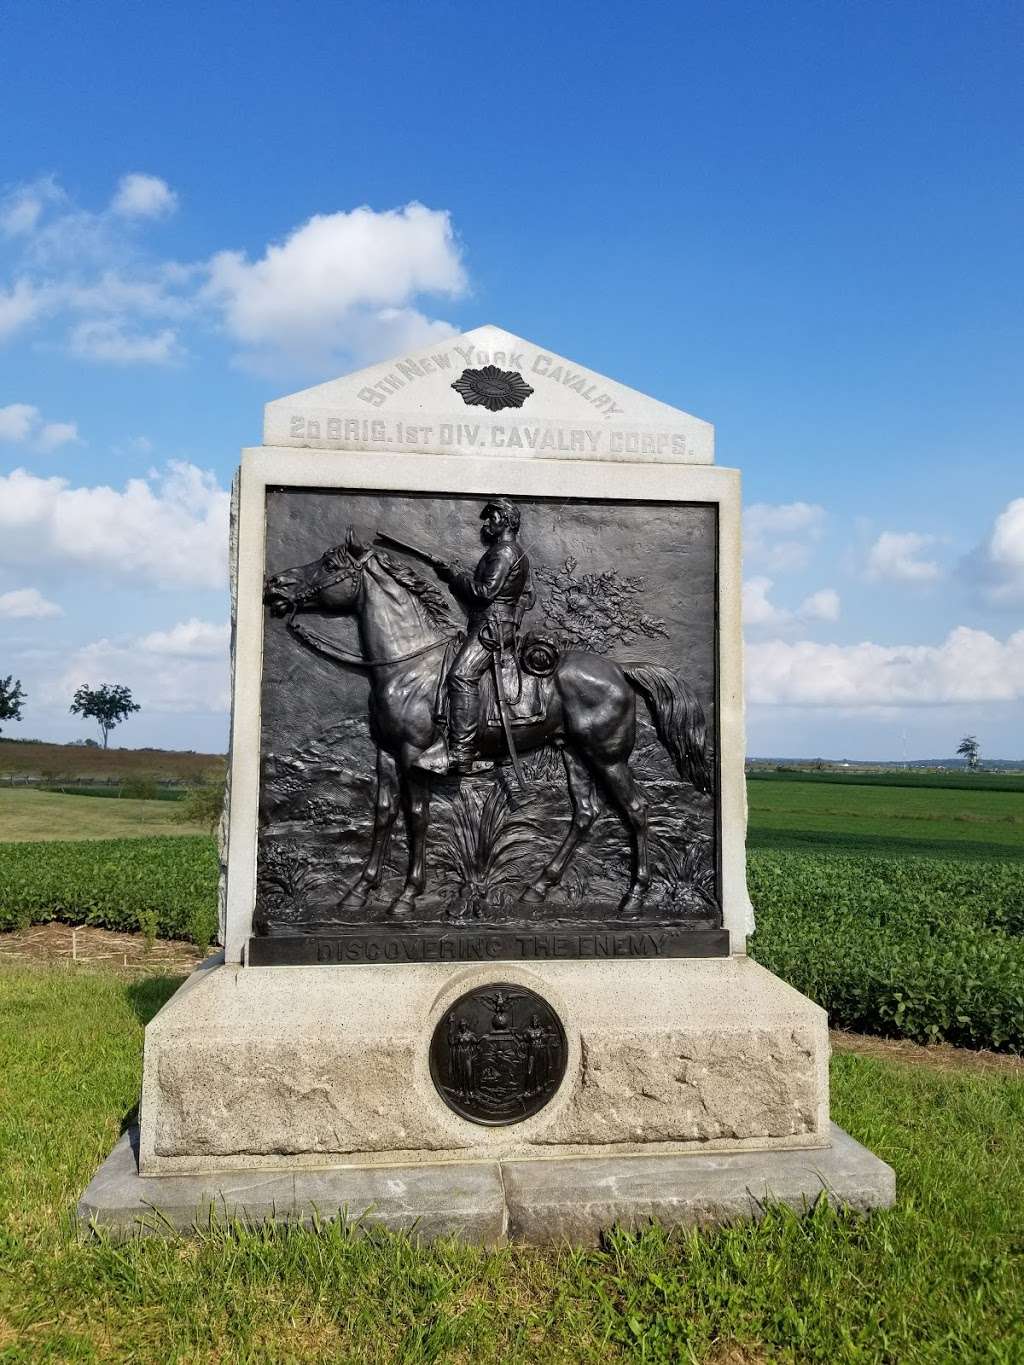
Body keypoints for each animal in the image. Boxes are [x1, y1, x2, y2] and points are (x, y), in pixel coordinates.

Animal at [264, 529, 715, 917]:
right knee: (586, 812)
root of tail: (621, 670)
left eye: (328, 563)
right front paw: (359, 890)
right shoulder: (387, 753)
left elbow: (417, 816)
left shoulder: (413, 756)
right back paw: (538, 887)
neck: (409, 664)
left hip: (608, 757)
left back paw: (634, 896)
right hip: (574, 753)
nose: (275, 584)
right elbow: (383, 812)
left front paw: (407, 895)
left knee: (637, 809)